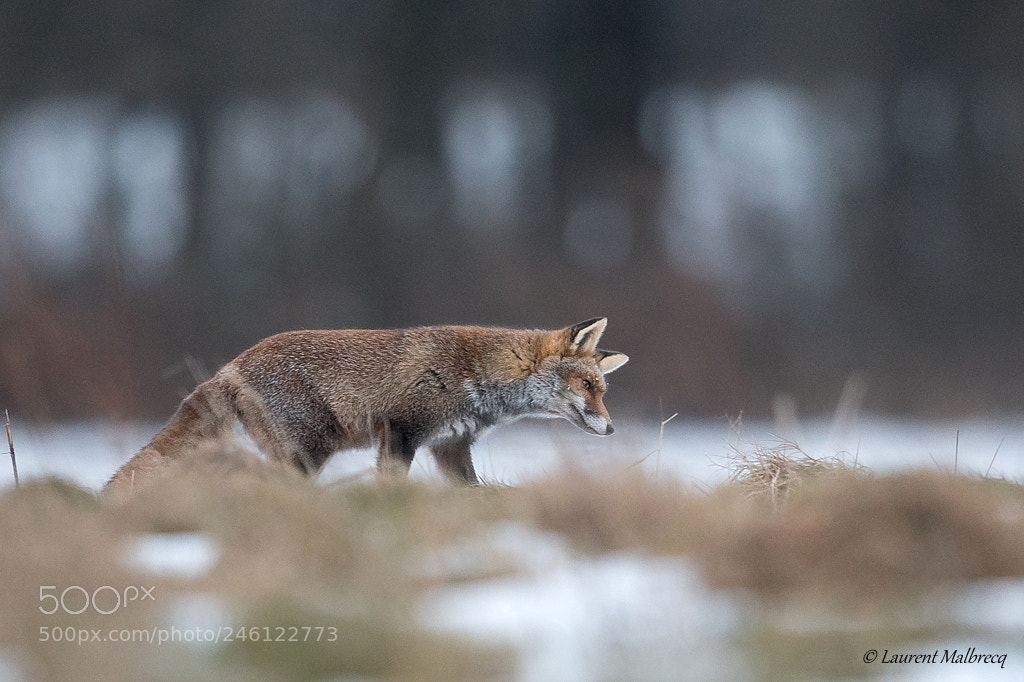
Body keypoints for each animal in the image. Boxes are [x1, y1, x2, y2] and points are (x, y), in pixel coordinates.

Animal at [104, 317, 628, 495]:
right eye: (587, 385)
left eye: (602, 389)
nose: (611, 430)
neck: (482, 376)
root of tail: (231, 365)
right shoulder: (402, 429)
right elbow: (389, 483)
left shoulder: (450, 445)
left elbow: (471, 490)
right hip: (305, 453)